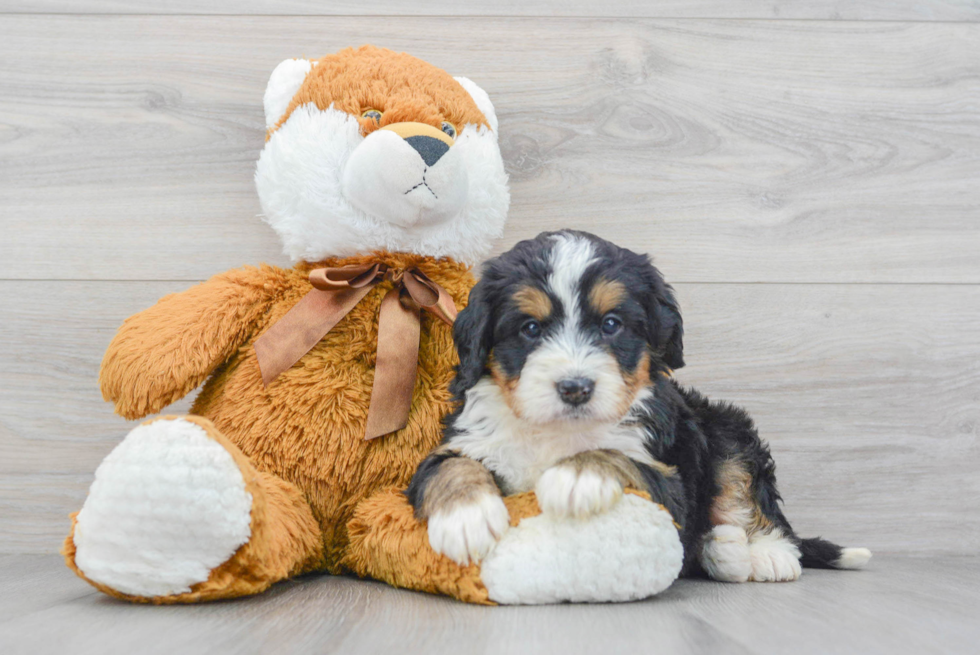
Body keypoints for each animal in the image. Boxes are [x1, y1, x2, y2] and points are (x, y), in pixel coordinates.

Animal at [406, 231, 872, 584]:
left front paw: (578, 477)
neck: (557, 429)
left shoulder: (668, 481)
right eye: (531, 328)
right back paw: (723, 549)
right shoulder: (466, 438)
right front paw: (466, 519)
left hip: (726, 430)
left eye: (611, 324)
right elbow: (451, 466)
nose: (575, 388)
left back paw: (763, 553)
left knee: (748, 496)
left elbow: (618, 455)